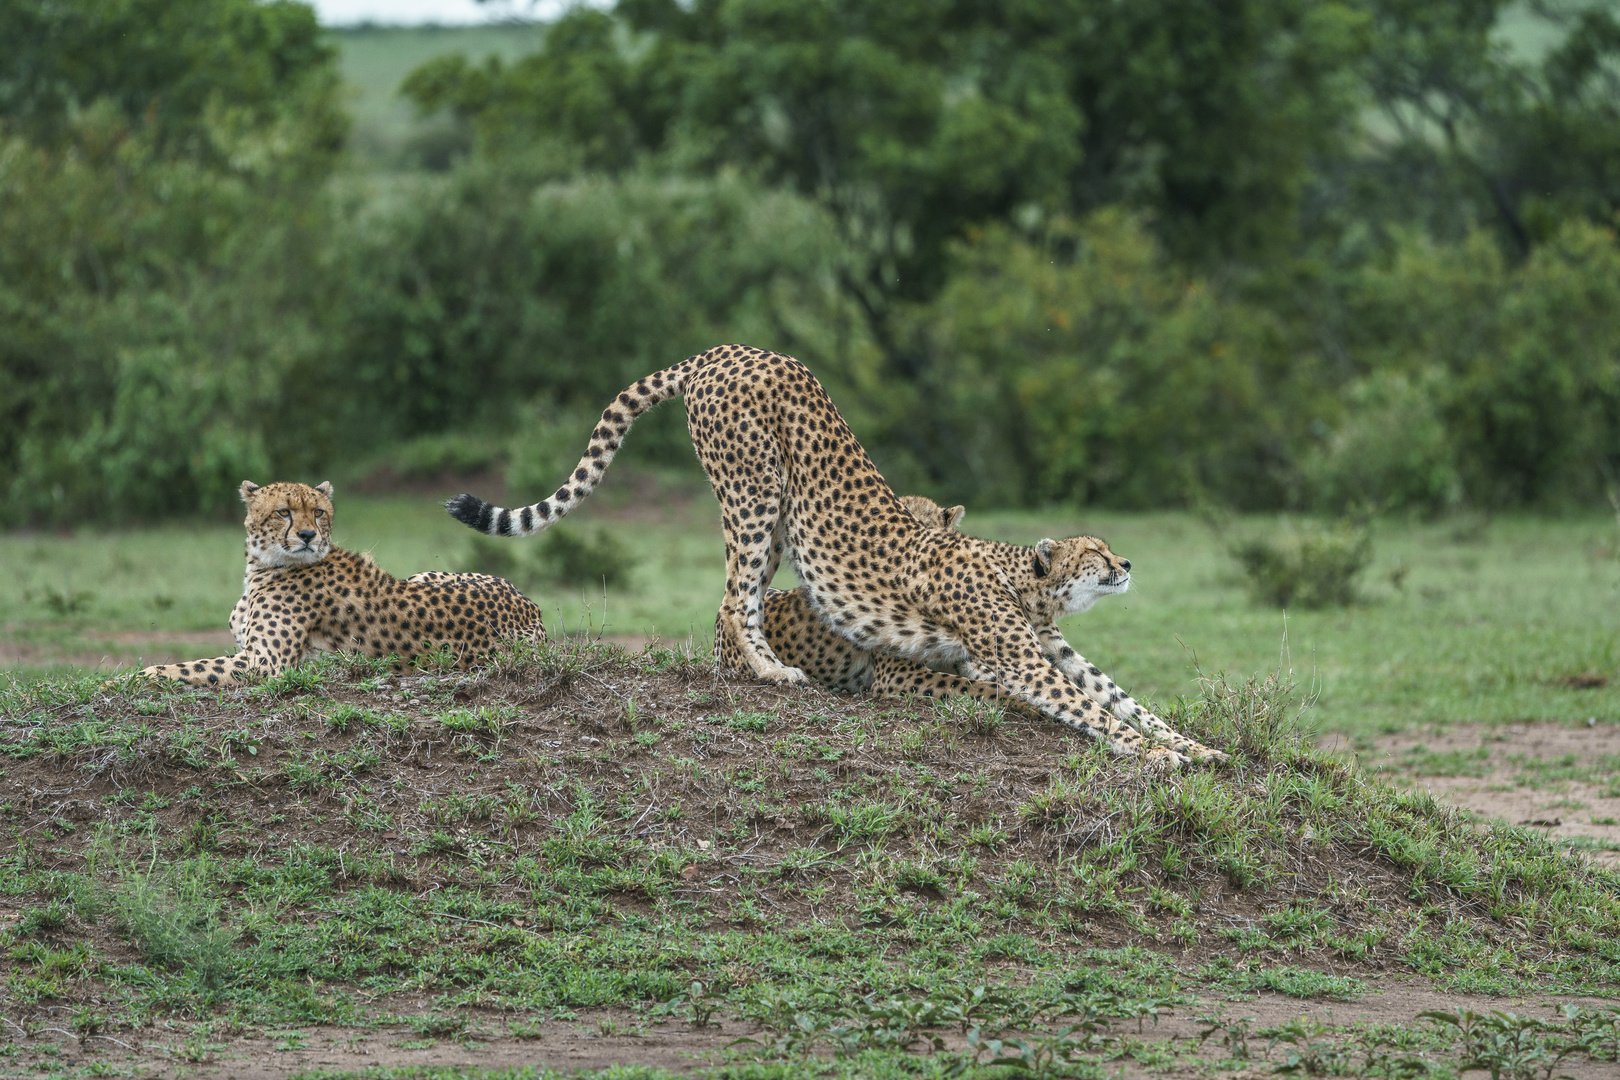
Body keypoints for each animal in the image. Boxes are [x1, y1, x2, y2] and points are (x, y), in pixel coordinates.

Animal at [139, 479, 544, 689]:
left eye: (318, 512)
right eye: (283, 511)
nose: (307, 535)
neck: (264, 566)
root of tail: (530, 606)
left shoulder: (265, 664)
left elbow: (183, 668)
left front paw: (133, 677)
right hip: (421, 576)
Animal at [450, 346, 1218, 767]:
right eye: (1095, 551)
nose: (1126, 565)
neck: (1025, 583)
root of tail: (728, 351)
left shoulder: (1051, 649)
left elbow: (1124, 698)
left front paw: (1194, 746)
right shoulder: (1019, 661)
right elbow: (1093, 711)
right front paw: (1160, 757)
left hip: (776, 514)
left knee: (738, 600)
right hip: (755, 487)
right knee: (732, 599)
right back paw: (771, 673)